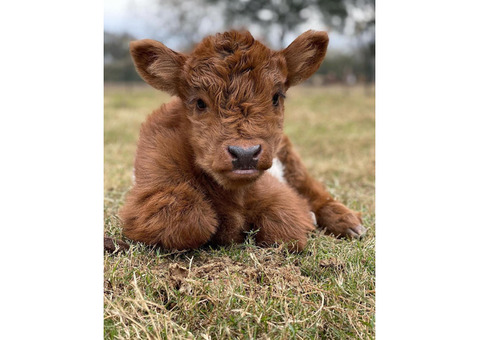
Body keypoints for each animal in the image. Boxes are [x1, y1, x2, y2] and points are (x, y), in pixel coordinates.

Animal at [120, 29, 368, 252]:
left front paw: (306, 218)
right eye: (199, 102)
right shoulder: (146, 197)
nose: (245, 153)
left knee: (313, 189)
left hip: (290, 158)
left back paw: (349, 223)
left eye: (276, 97)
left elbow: (284, 225)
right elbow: (189, 220)